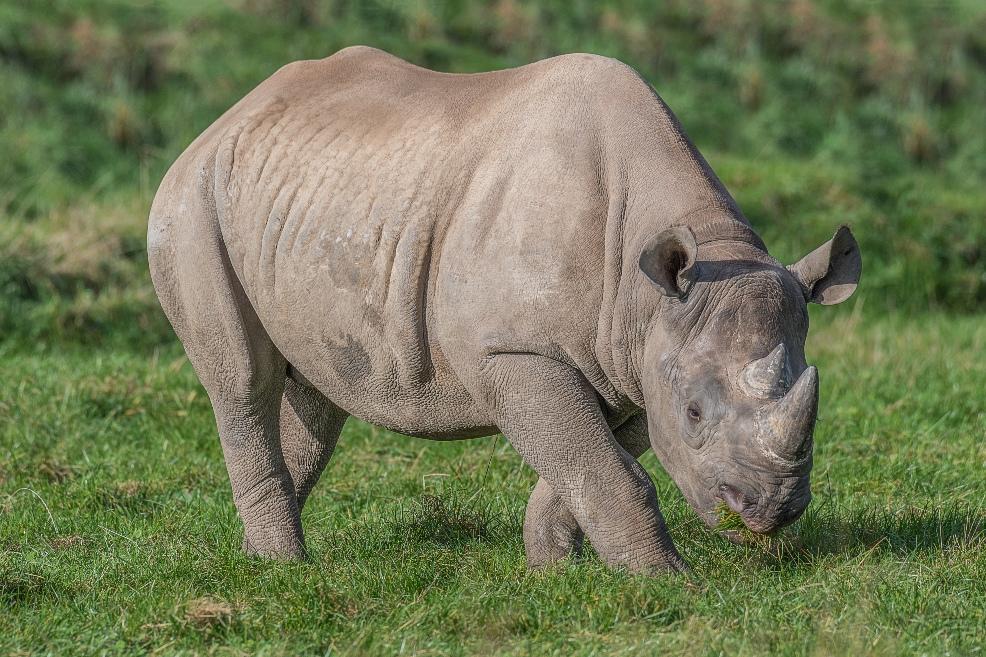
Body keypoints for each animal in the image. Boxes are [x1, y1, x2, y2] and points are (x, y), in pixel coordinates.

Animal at [148, 46, 861, 572]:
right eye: (694, 413)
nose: (768, 513)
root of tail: (223, 120)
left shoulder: (629, 355)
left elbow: (589, 462)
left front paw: (554, 570)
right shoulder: (518, 349)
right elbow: (607, 467)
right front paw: (665, 581)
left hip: (303, 201)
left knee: (318, 391)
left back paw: (263, 560)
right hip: (190, 202)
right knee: (242, 382)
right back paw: (286, 568)